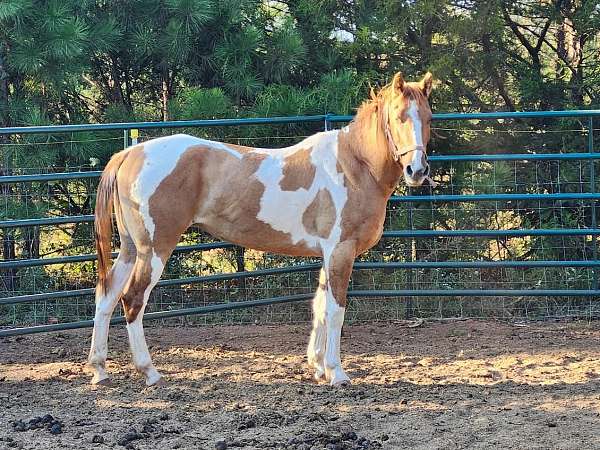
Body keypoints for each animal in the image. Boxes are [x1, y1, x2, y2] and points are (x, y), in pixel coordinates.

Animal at [89, 71, 434, 386]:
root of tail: (130, 153)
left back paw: (100, 370)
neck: (353, 166)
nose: (416, 170)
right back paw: (149, 371)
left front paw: (318, 367)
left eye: (428, 117)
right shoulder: (340, 251)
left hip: (132, 249)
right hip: (155, 249)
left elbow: (320, 306)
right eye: (399, 117)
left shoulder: (327, 253)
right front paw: (336, 373)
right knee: (132, 299)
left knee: (106, 296)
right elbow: (336, 310)